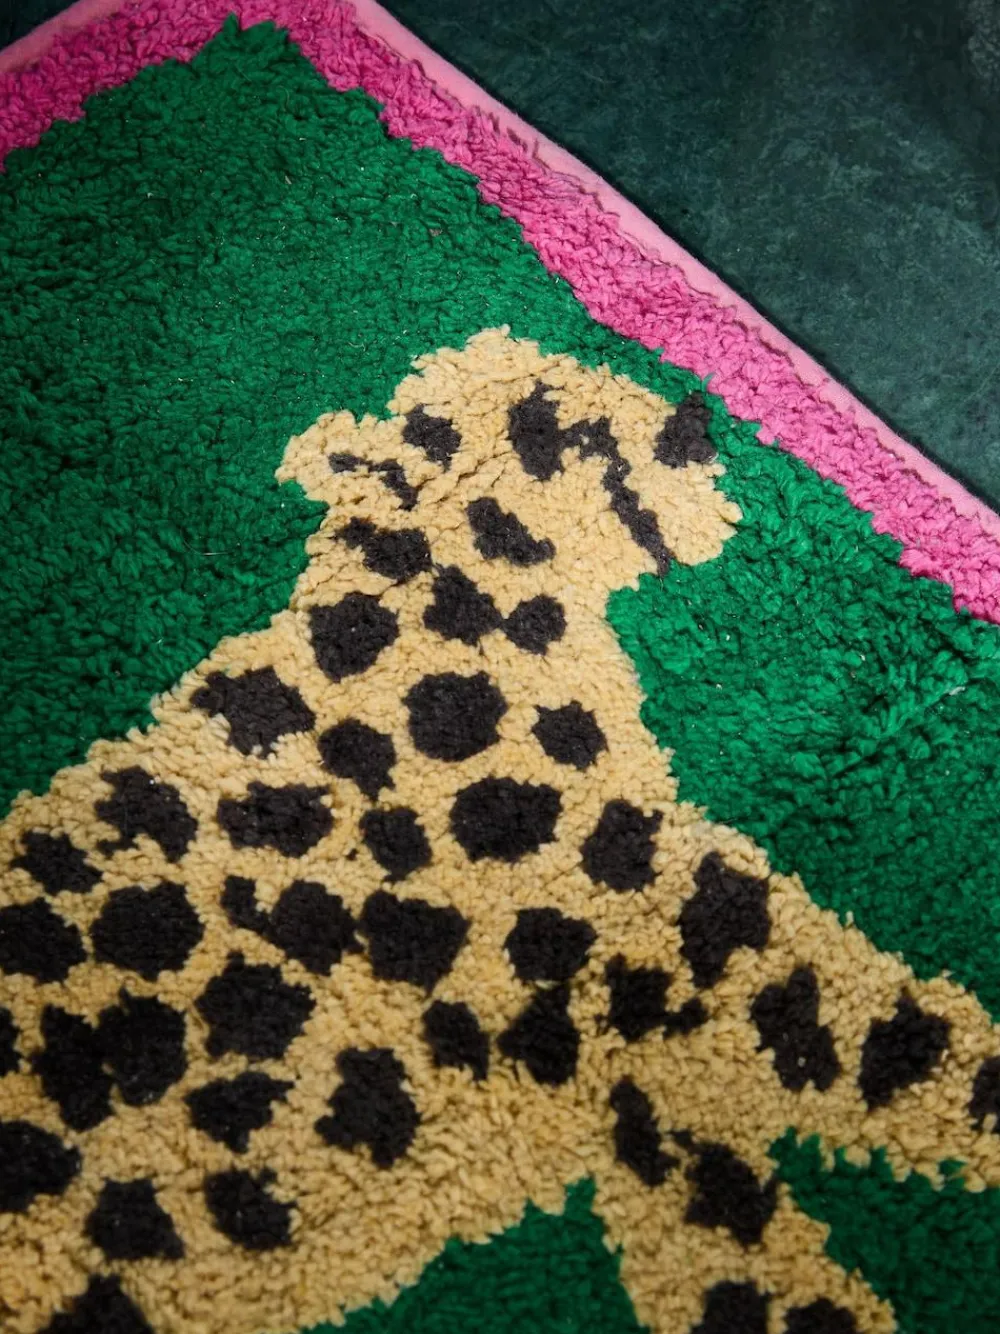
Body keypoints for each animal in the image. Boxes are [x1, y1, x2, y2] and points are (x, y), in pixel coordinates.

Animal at [3, 329, 1000, 1334]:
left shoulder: (635, 1080)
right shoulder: (698, 959)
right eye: (547, 414)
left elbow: (741, 1258)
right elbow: (923, 1050)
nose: (695, 413)